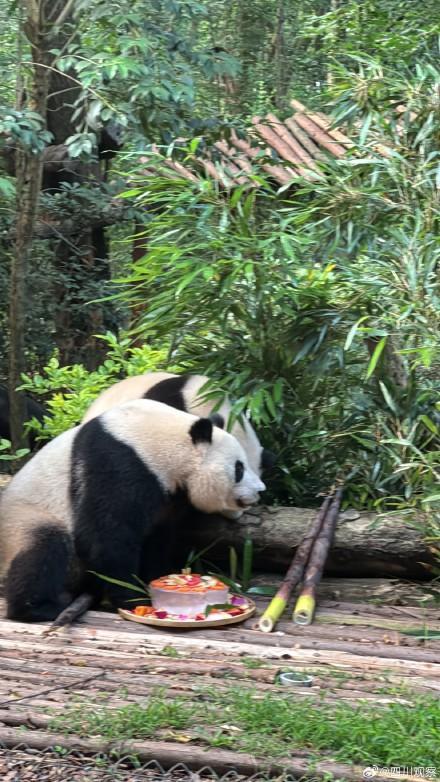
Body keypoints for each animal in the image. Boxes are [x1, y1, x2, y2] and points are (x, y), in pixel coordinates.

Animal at [0, 402, 264, 620]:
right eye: (239, 468)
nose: (260, 489)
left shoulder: (166, 496)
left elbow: (157, 539)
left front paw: (153, 580)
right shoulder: (118, 464)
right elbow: (105, 538)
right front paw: (133, 597)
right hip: (23, 519)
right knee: (43, 548)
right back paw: (39, 608)